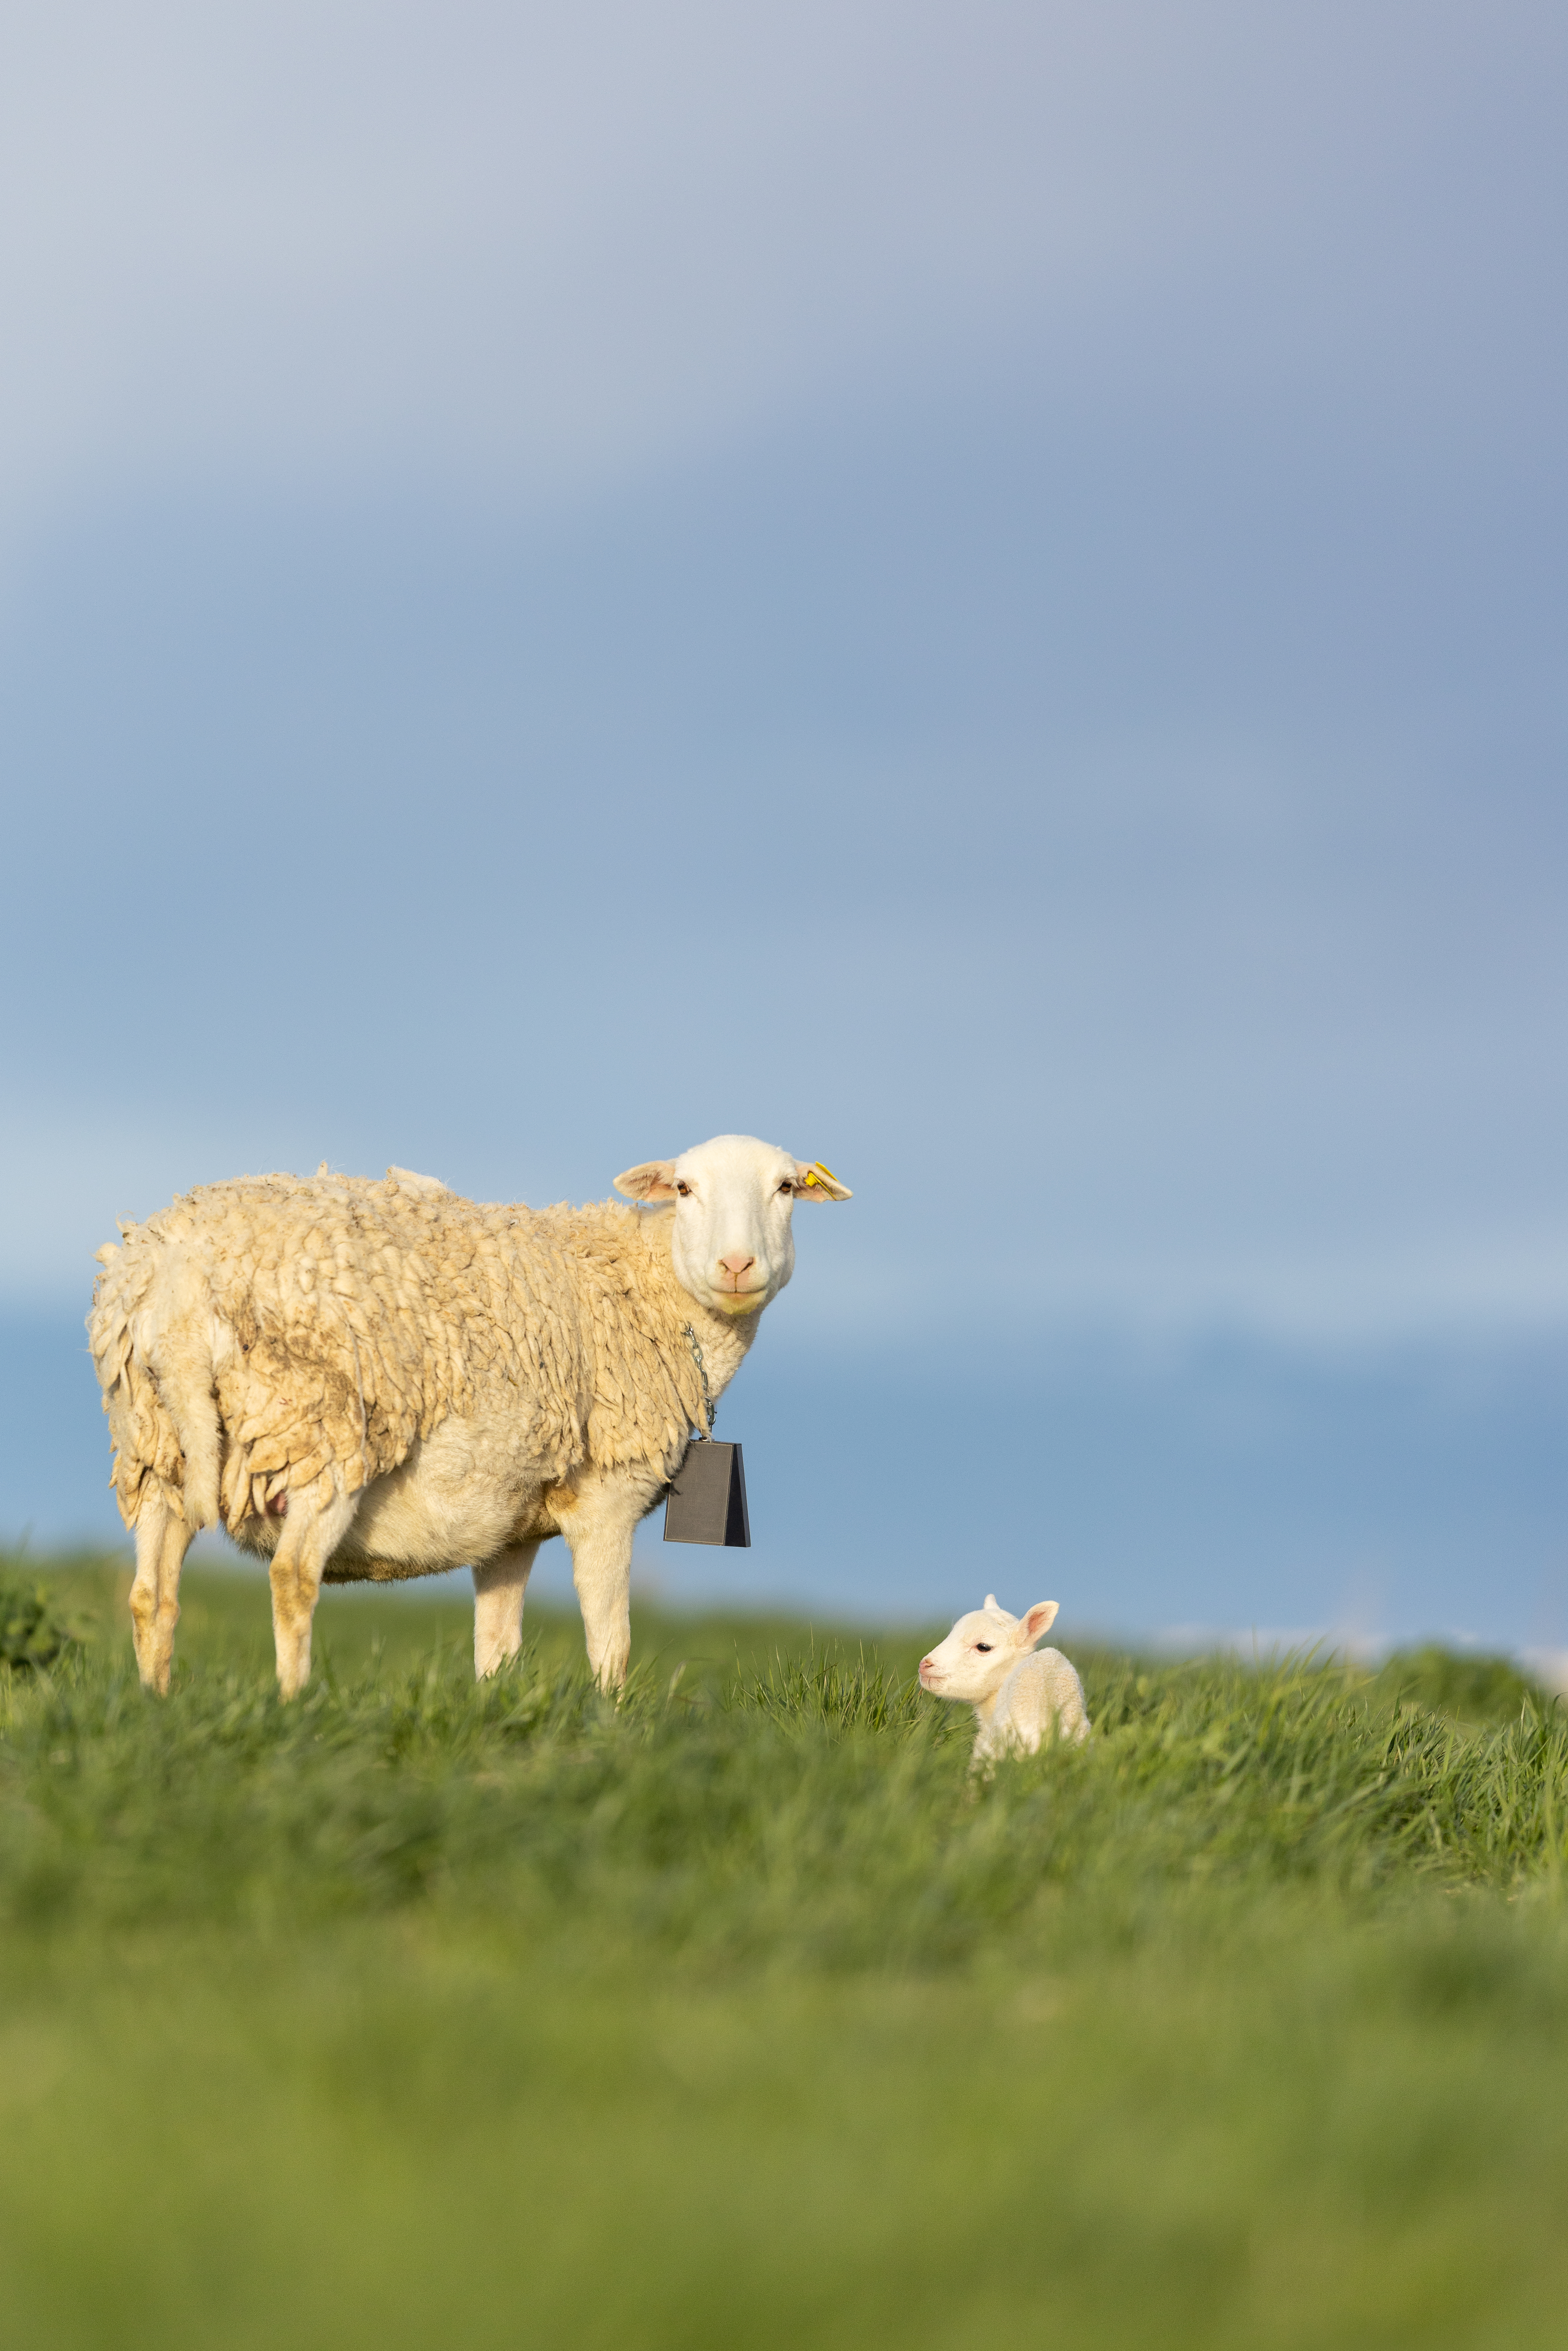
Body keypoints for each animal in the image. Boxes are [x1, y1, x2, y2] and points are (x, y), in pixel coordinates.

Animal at [87, 1134, 851, 1700]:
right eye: (685, 1189)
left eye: (786, 1189)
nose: (736, 1264)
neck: (651, 1286)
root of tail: (181, 1280)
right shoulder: (606, 1495)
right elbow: (611, 1640)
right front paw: (612, 1727)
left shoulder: (509, 1528)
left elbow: (497, 1647)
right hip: (319, 1433)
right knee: (292, 1577)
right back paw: (294, 1705)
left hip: (155, 1445)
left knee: (151, 1594)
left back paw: (155, 1704)